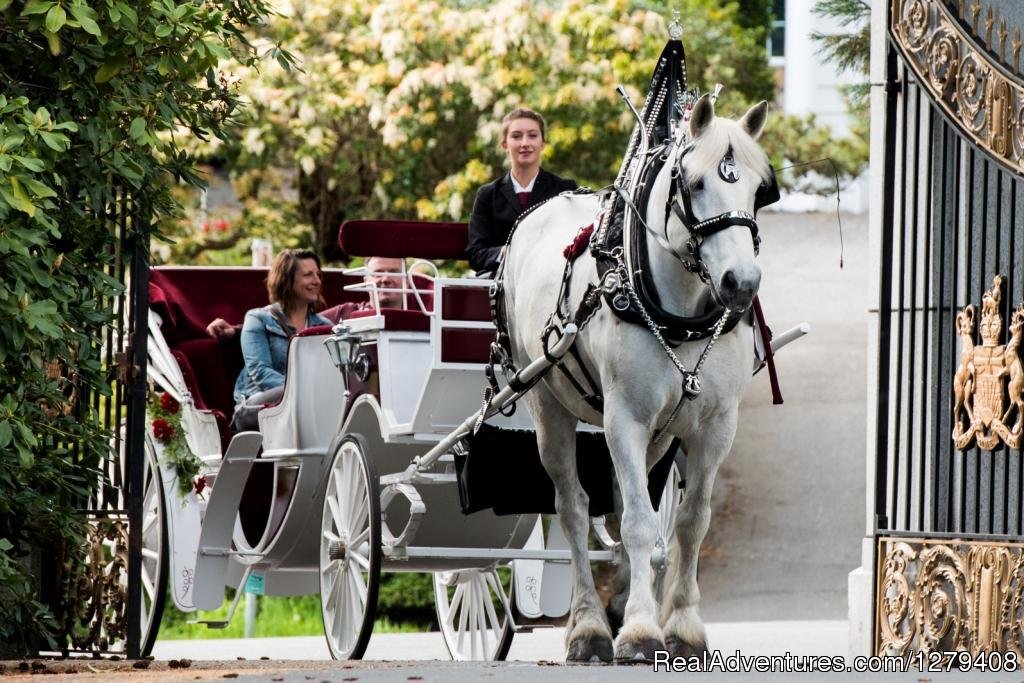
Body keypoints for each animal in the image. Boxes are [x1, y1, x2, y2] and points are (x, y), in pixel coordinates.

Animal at [499, 96, 770, 663]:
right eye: (695, 183)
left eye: (760, 189)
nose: (741, 282)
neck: (681, 312)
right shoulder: (625, 419)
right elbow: (640, 524)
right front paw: (642, 631)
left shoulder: (715, 427)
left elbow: (689, 522)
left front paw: (682, 626)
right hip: (547, 405)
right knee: (574, 510)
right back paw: (588, 627)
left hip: (660, 435)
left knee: (627, 503)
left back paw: (620, 603)